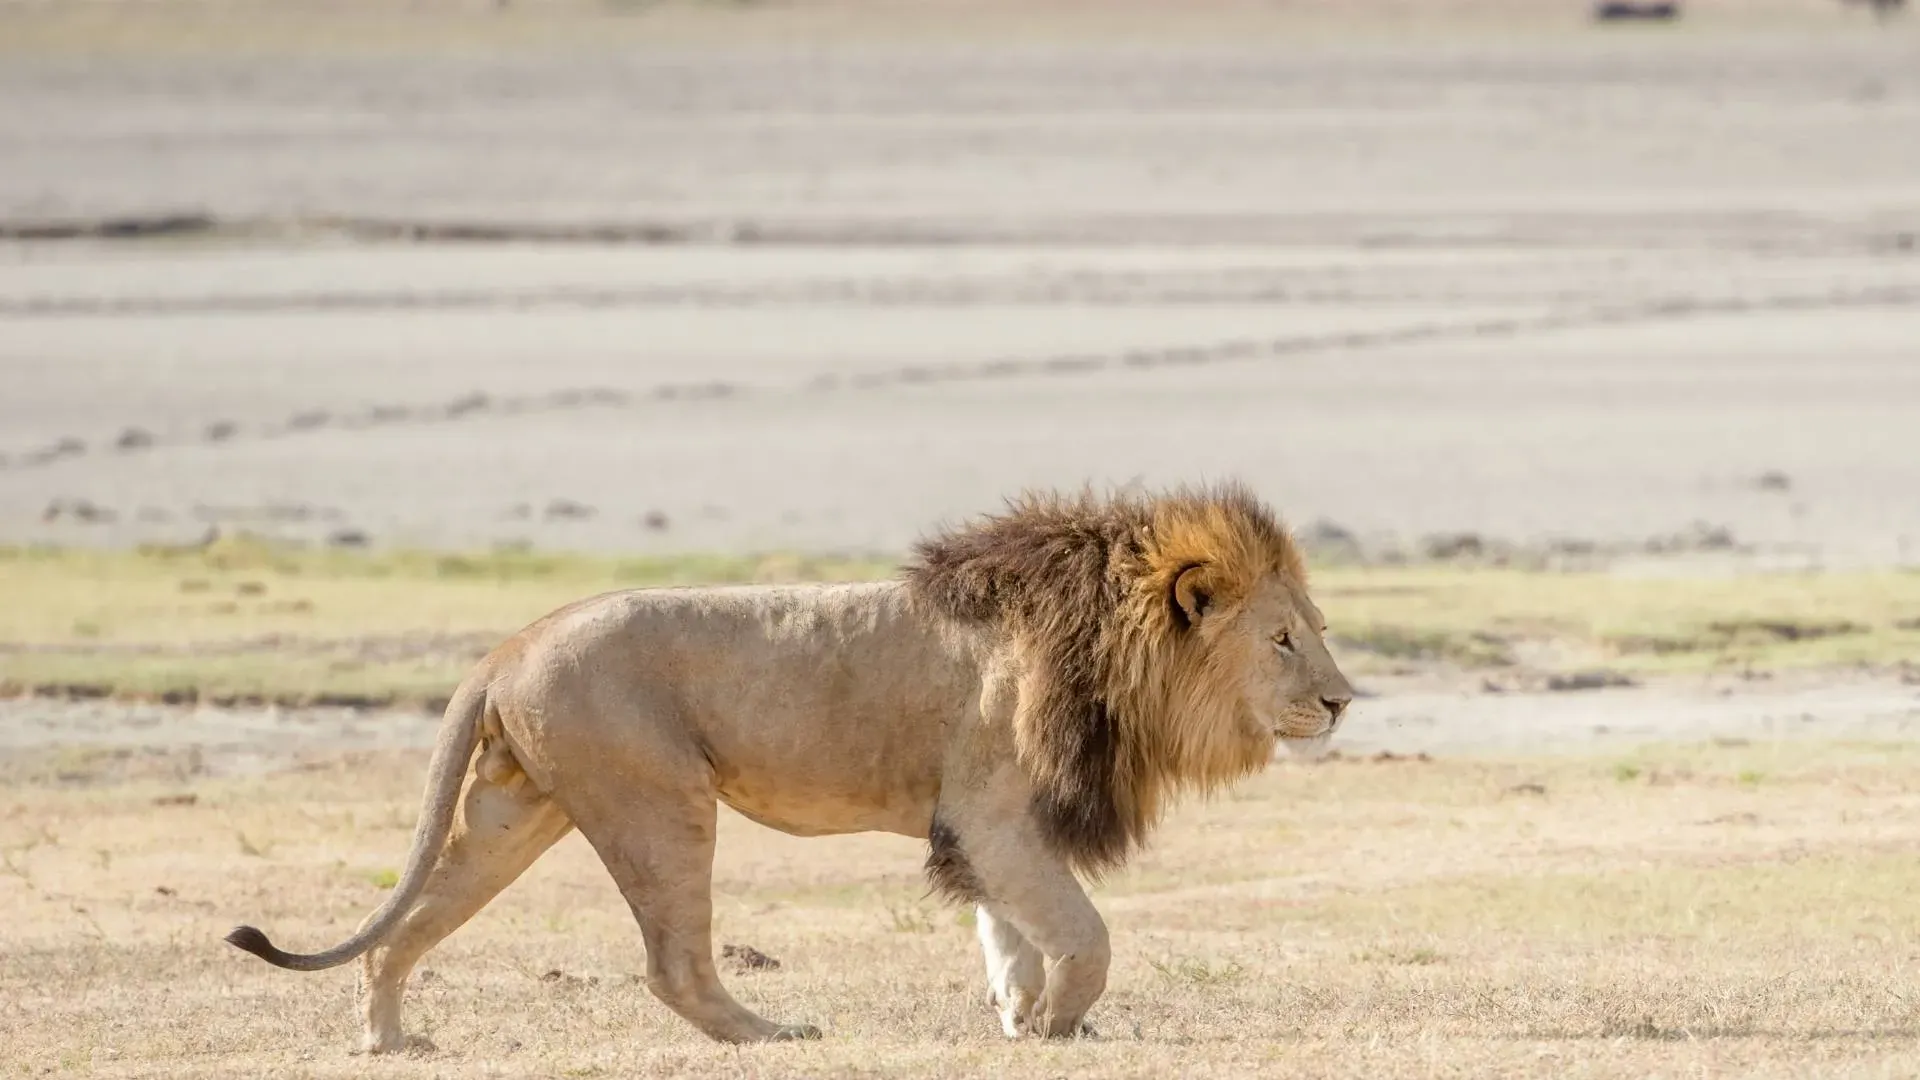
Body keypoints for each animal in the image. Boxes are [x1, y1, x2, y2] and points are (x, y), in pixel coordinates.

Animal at [224, 482, 1355, 1050]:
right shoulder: (993, 811)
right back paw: (769, 1034)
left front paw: (1017, 1014)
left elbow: (1012, 934)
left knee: (406, 925)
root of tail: (508, 644)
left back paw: (387, 1039)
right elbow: (1083, 933)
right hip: (661, 799)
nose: (1345, 700)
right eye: (1283, 642)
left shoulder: (988, 824)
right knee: (673, 963)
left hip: (516, 811)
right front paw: (1058, 1026)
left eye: (1318, 631)